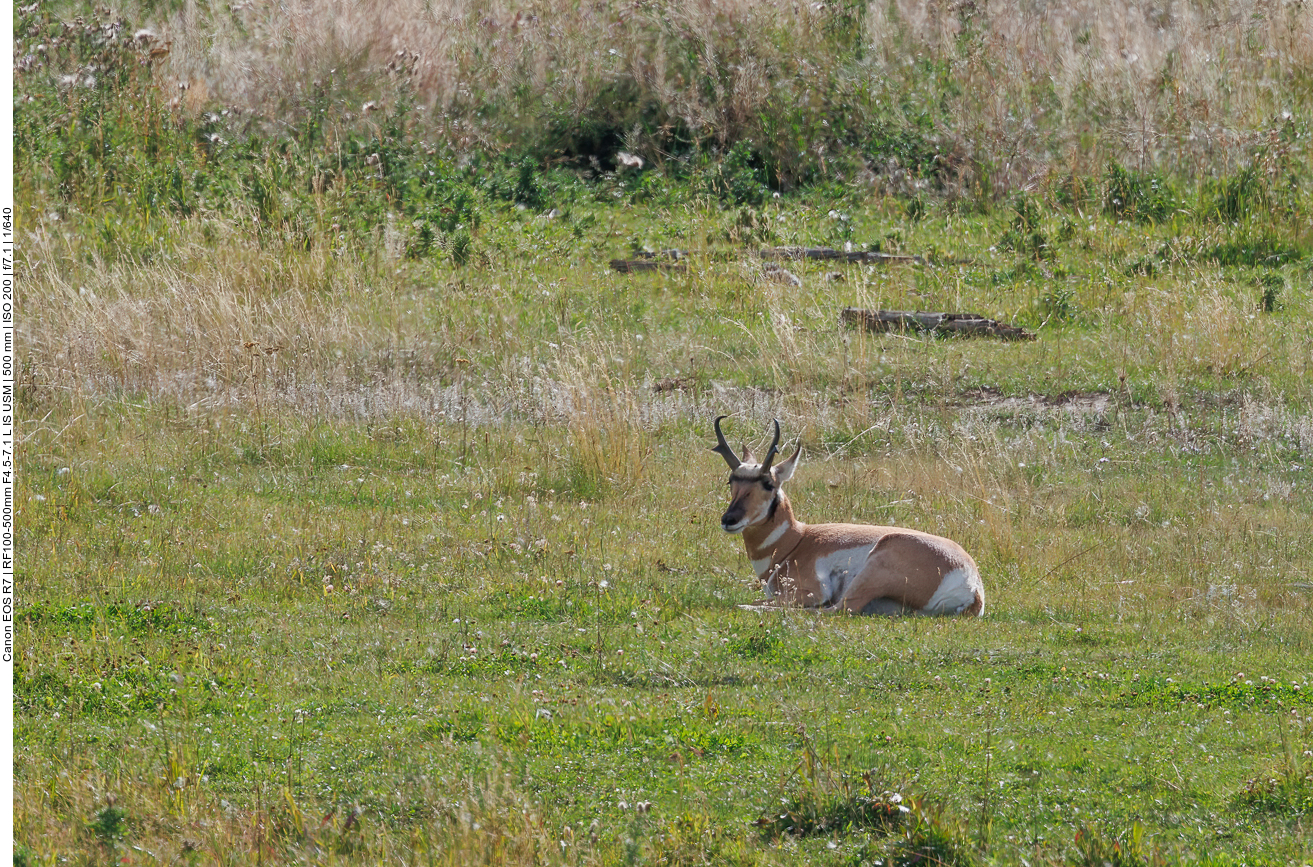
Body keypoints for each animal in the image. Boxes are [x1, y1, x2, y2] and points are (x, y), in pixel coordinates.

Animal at [709, 415, 987, 612]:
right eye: (731, 480)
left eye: (768, 483)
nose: (729, 520)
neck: (797, 540)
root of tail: (972, 583)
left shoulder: (808, 591)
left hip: (870, 573)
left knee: (836, 610)